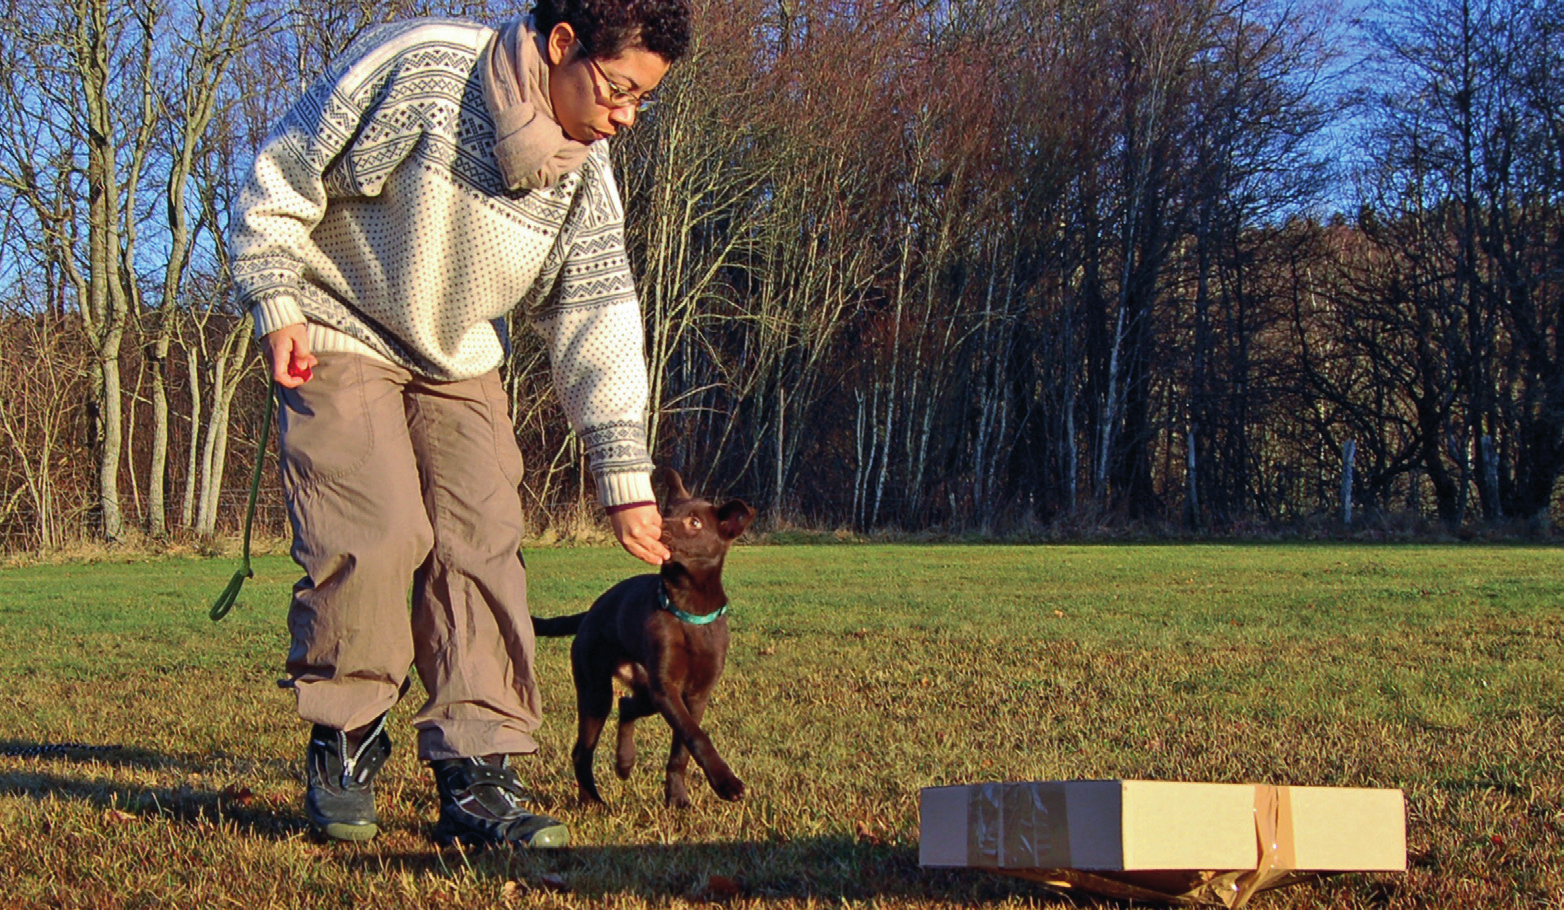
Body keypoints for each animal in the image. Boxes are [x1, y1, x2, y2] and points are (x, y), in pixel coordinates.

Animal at [534, 472, 753, 806]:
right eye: (668, 509)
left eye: (695, 522)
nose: (657, 525)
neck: (688, 608)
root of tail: (589, 614)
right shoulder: (667, 688)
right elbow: (696, 736)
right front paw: (726, 783)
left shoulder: (696, 693)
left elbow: (682, 748)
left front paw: (677, 798)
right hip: (596, 689)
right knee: (582, 750)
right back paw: (591, 800)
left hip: (643, 689)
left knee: (626, 705)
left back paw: (624, 762)